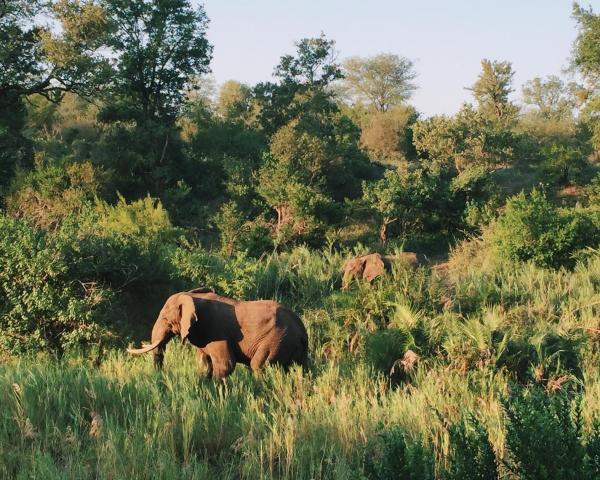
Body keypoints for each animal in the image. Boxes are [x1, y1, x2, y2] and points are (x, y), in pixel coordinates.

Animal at [127, 288, 310, 378]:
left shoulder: (216, 332)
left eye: (165, 318)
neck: (192, 297)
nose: (159, 378)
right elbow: (204, 364)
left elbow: (225, 364)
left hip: (277, 340)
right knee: (301, 369)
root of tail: (302, 331)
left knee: (259, 366)